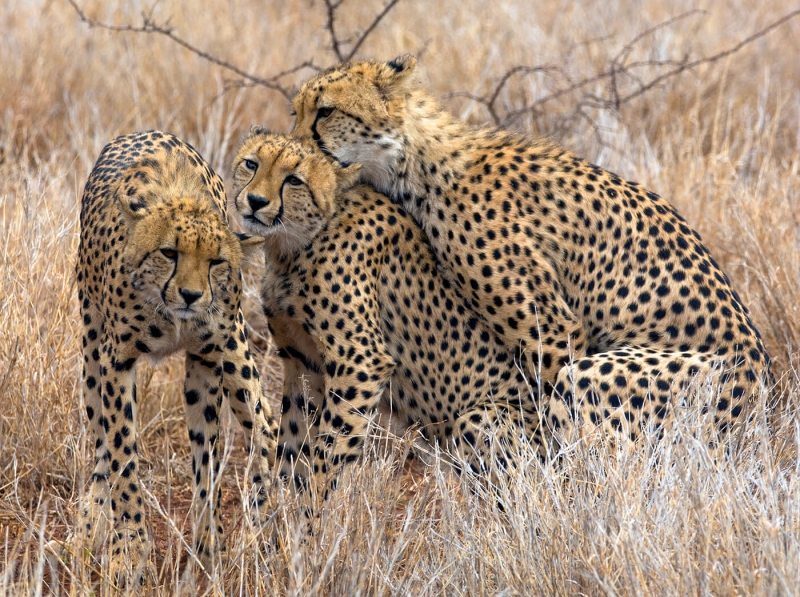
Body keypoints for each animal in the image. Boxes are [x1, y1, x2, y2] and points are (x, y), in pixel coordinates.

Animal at [70, 130, 280, 584]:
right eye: (170, 253)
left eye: (216, 261)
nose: (191, 295)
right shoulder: (116, 362)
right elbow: (122, 454)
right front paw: (129, 550)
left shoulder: (207, 359)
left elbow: (208, 461)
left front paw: (210, 542)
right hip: (92, 348)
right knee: (100, 444)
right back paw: (90, 525)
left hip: (235, 347)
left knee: (266, 425)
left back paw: (266, 524)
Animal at [228, 128, 548, 496]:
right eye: (251, 164)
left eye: (294, 180)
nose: (255, 201)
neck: (297, 242)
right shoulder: (301, 361)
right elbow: (293, 445)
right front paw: (281, 508)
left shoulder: (362, 362)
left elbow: (329, 450)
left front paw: (313, 507)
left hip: (479, 419)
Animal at [290, 57, 772, 448]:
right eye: (295, 111)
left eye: (326, 111)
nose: (298, 153)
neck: (419, 166)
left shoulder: (554, 331)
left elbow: (543, 411)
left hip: (611, 376)